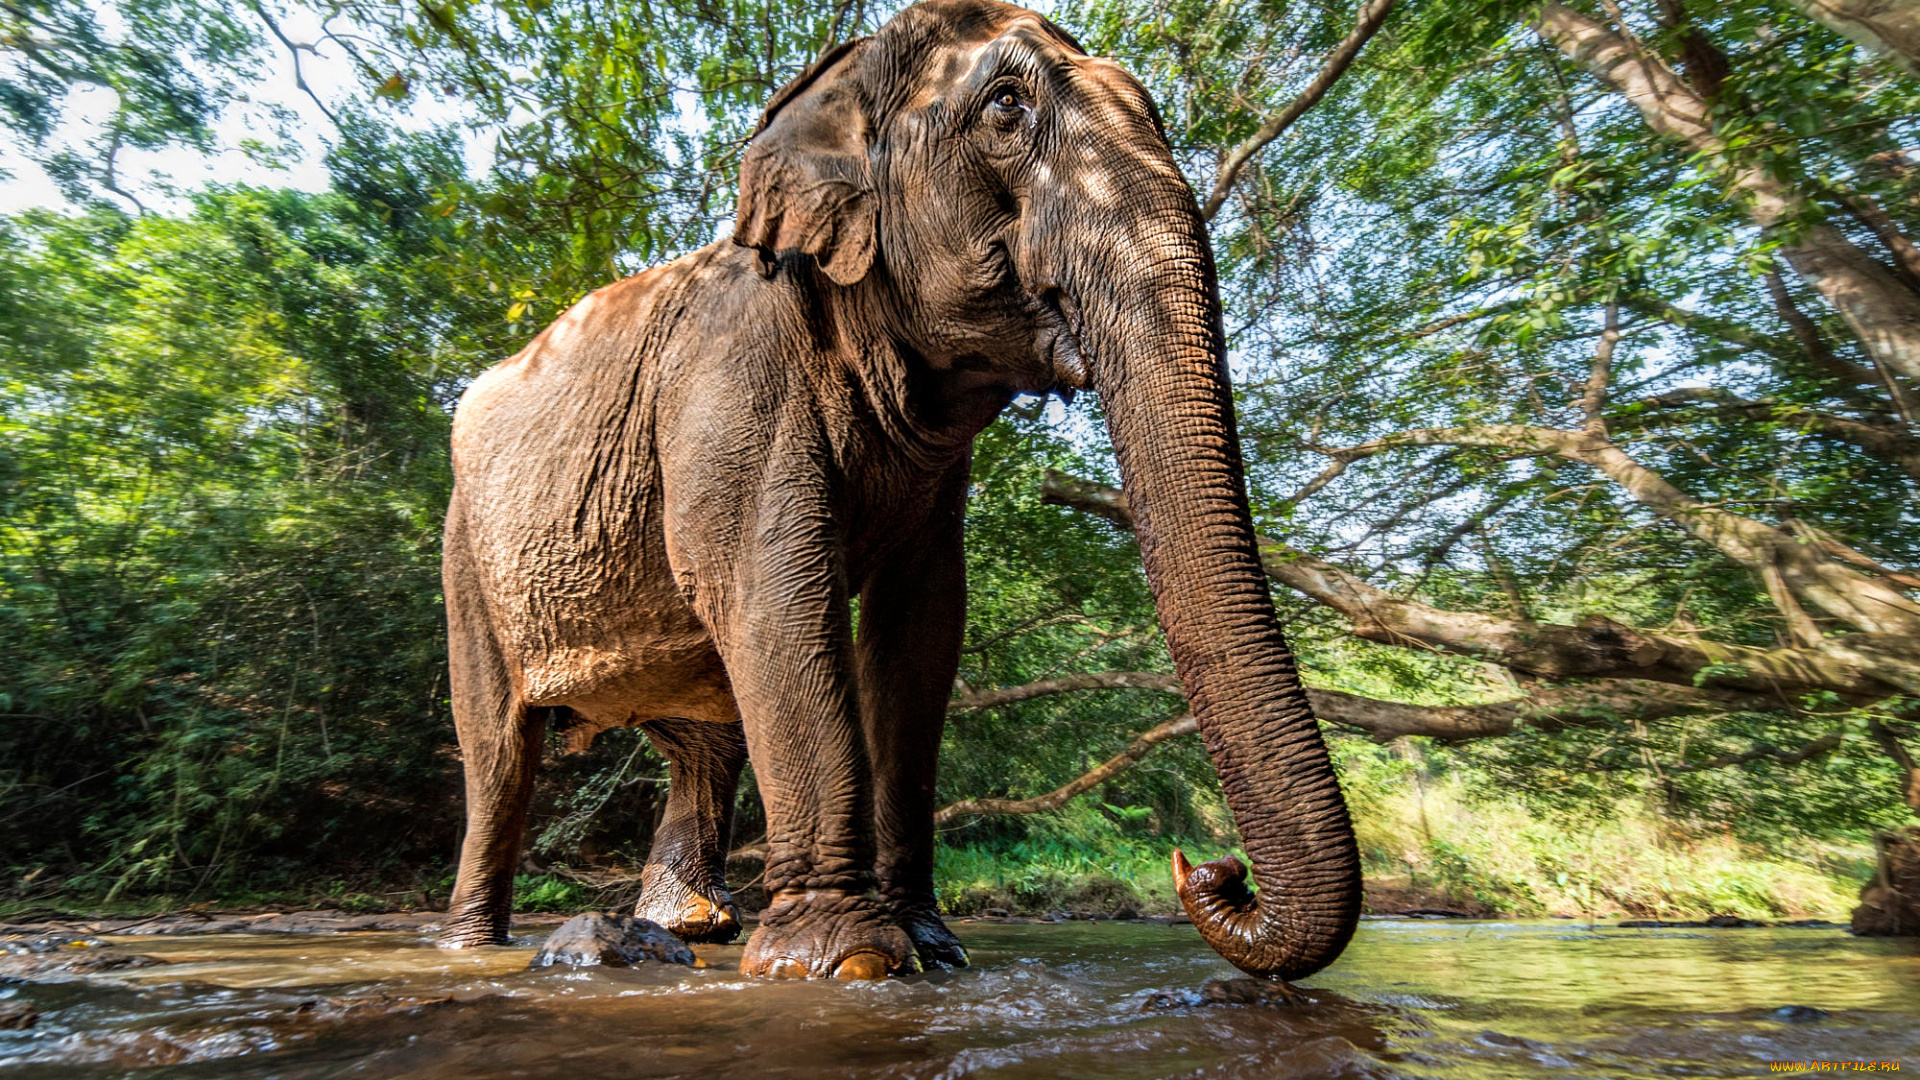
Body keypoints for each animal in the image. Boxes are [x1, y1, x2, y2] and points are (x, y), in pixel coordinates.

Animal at [435, 0, 1367, 980]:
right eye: (1005, 107)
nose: (1213, 868)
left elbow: (920, 626)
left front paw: (931, 946)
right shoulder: (732, 374)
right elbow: (765, 590)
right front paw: (846, 960)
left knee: (704, 737)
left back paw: (685, 930)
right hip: (466, 556)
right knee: (497, 749)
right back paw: (474, 944)